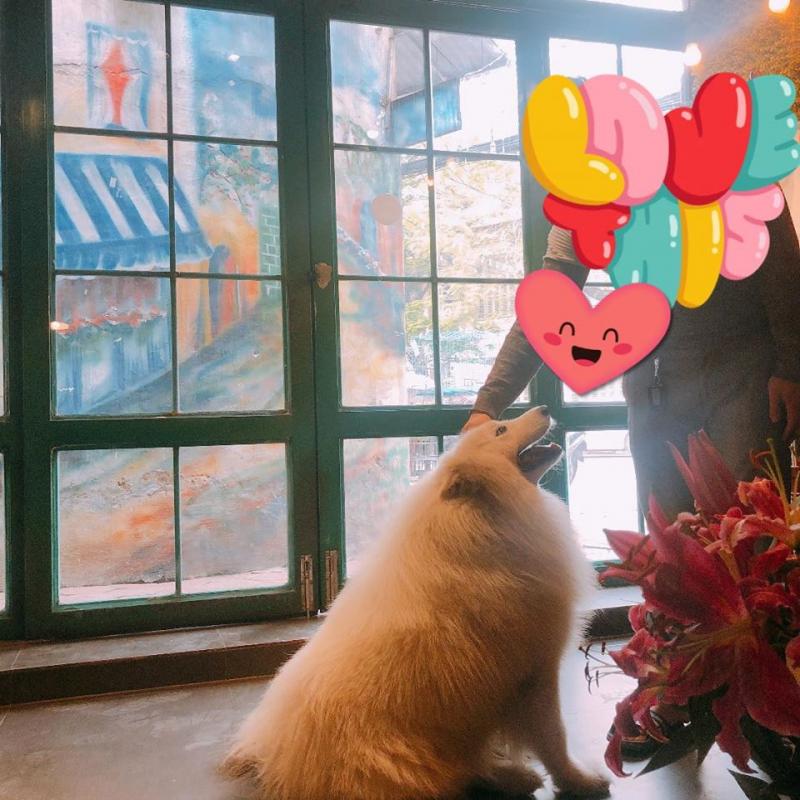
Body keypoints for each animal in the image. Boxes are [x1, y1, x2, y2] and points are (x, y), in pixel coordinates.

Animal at [222, 406, 610, 799]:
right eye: (501, 430)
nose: (545, 408)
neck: (484, 511)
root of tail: (279, 766)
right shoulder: (536, 672)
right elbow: (554, 739)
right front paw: (579, 780)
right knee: (462, 772)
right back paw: (512, 776)